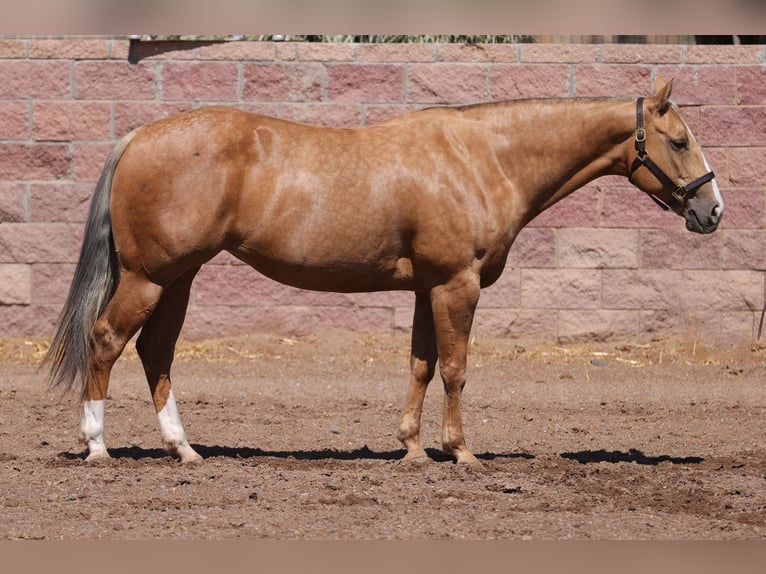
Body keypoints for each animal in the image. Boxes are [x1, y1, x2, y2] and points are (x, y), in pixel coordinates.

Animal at [44, 76, 723, 468]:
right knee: (106, 340)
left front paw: (414, 451)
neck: (481, 158)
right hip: (150, 277)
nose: (712, 210)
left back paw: (184, 449)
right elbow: (455, 368)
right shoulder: (456, 283)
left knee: (155, 351)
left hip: (178, 278)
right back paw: (98, 447)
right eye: (680, 140)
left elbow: (421, 364)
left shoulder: (429, 286)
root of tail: (137, 135)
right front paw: (462, 454)